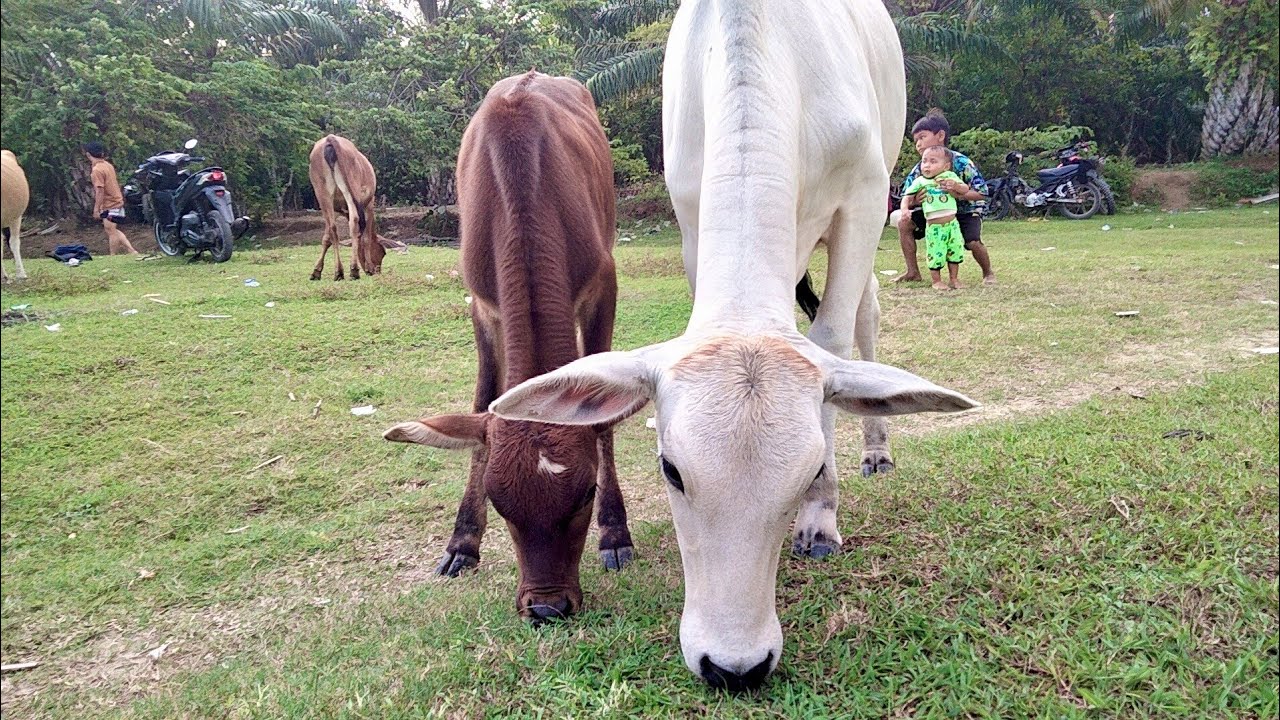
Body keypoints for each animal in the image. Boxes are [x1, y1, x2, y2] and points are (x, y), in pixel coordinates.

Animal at [308, 134, 385, 281]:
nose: (378, 271)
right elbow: (366, 238)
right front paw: (369, 268)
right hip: (350, 189)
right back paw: (354, 270)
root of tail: (330, 138)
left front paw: (316, 271)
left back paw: (339, 271)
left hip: (323, 193)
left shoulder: (335, 209)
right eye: (382, 252)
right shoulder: (369, 206)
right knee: (354, 222)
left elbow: (326, 237)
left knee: (333, 227)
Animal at [383, 72, 632, 622]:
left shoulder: (603, 285)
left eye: (585, 493)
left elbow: (603, 420)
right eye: (499, 501)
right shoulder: (481, 302)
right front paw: (462, 543)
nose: (546, 607)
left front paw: (614, 532)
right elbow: (482, 401)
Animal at [488, 0, 978, 689]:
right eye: (669, 469)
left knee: (865, 317)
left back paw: (877, 449)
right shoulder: (692, 214)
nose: (734, 667)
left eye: (811, 471)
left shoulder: (862, 199)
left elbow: (832, 338)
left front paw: (820, 519)